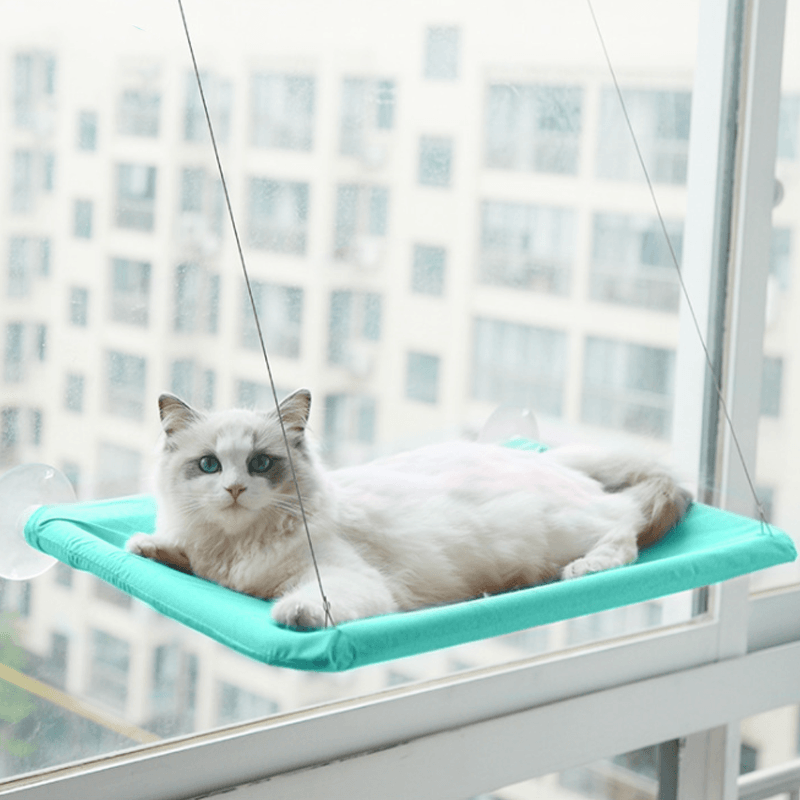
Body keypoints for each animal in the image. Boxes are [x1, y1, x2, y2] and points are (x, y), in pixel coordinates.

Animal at [126, 390, 692, 628]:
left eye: (261, 463)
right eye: (209, 466)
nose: (235, 491)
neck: (238, 545)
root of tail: (545, 460)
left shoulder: (344, 578)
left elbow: (311, 601)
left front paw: (294, 614)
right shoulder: (212, 562)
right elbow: (185, 557)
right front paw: (148, 546)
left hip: (563, 529)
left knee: (624, 529)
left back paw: (585, 569)